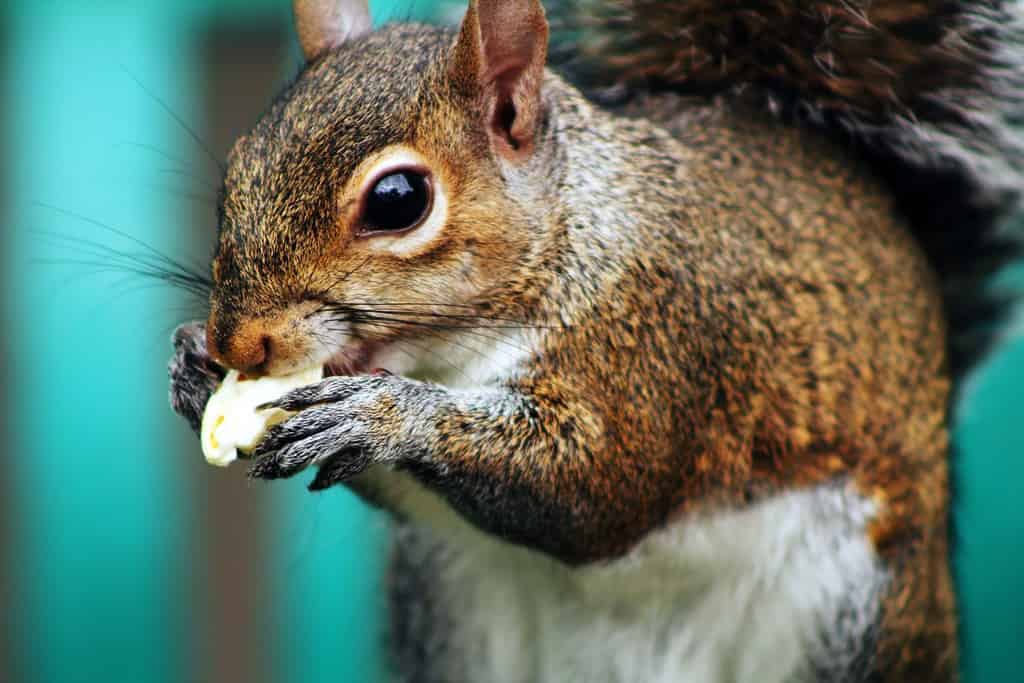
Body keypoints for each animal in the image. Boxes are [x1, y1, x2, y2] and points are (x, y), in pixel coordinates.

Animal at [167, 0, 1023, 681]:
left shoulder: (657, 337)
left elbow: (600, 486)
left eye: (399, 199)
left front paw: (385, 415)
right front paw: (190, 367)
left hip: (860, 614)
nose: (240, 341)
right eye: (236, 169)